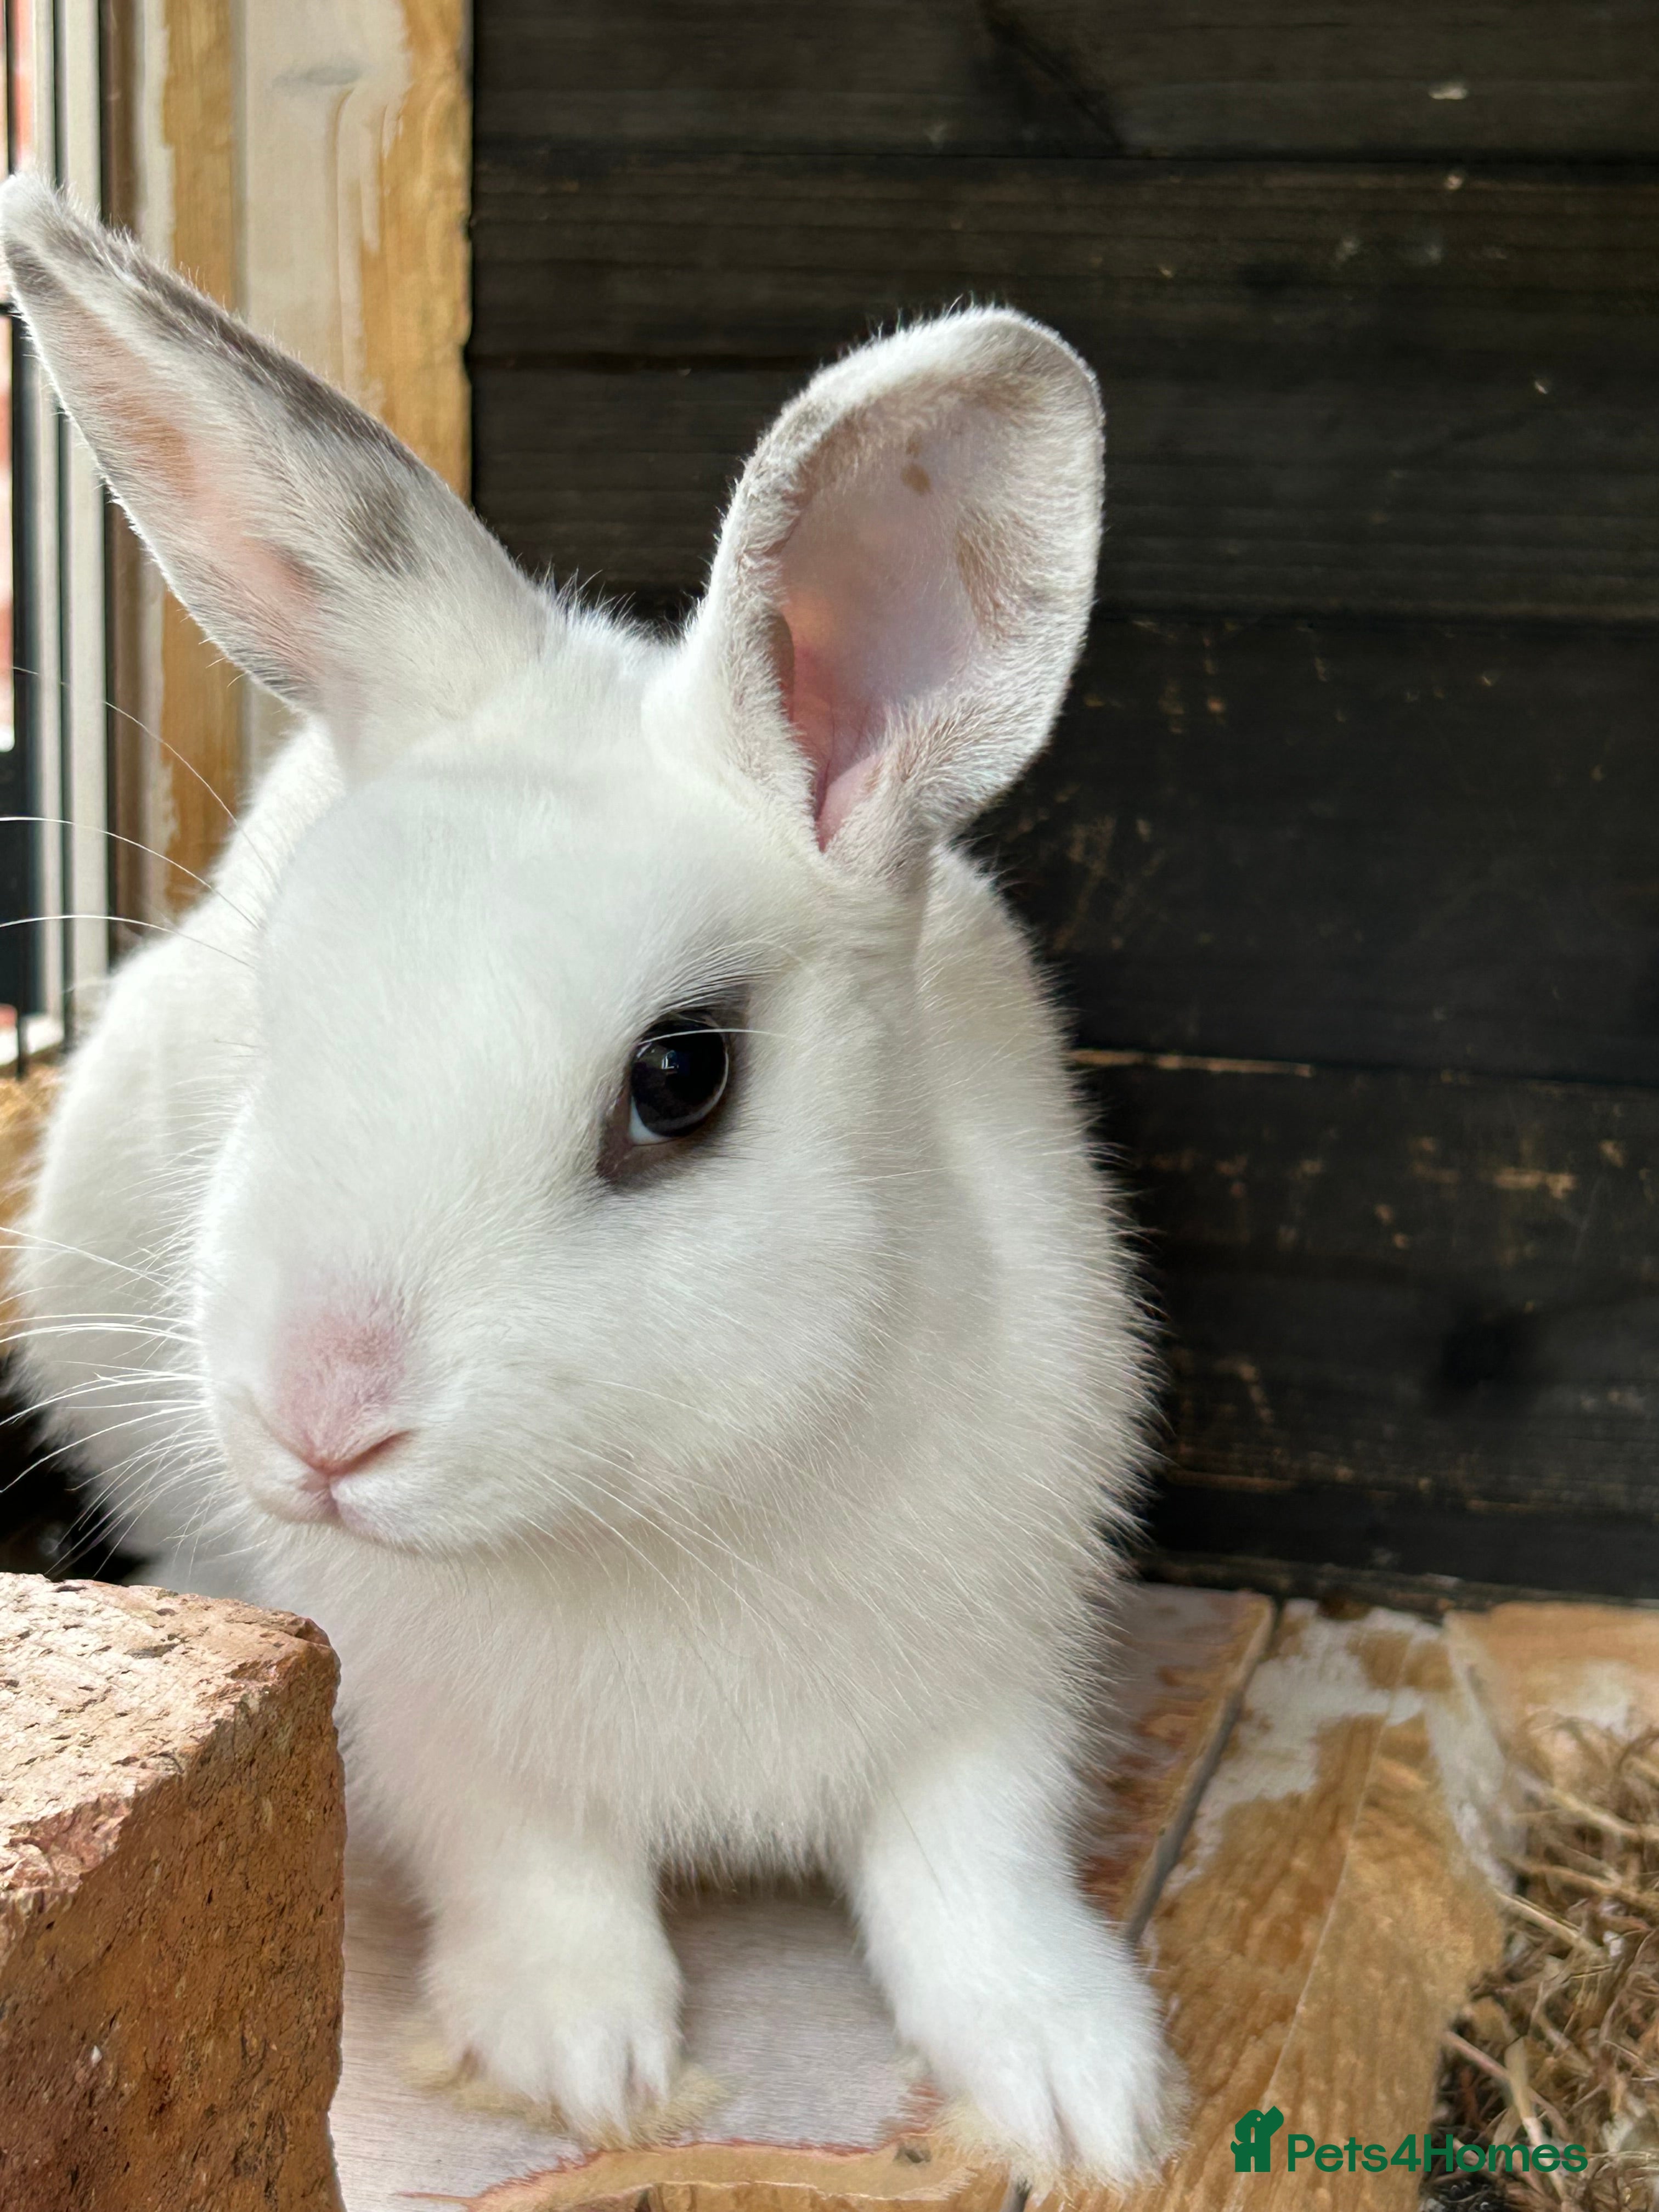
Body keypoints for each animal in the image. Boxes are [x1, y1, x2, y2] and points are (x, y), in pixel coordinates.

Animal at [0, 174, 1175, 2181]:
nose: (319, 1425)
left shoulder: (1000, 1671)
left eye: (680, 1080)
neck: (672, 1514)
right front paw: (585, 2063)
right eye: (285, 1003)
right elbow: (534, 1870)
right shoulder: (430, 1723)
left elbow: (972, 1872)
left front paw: (1077, 2089)